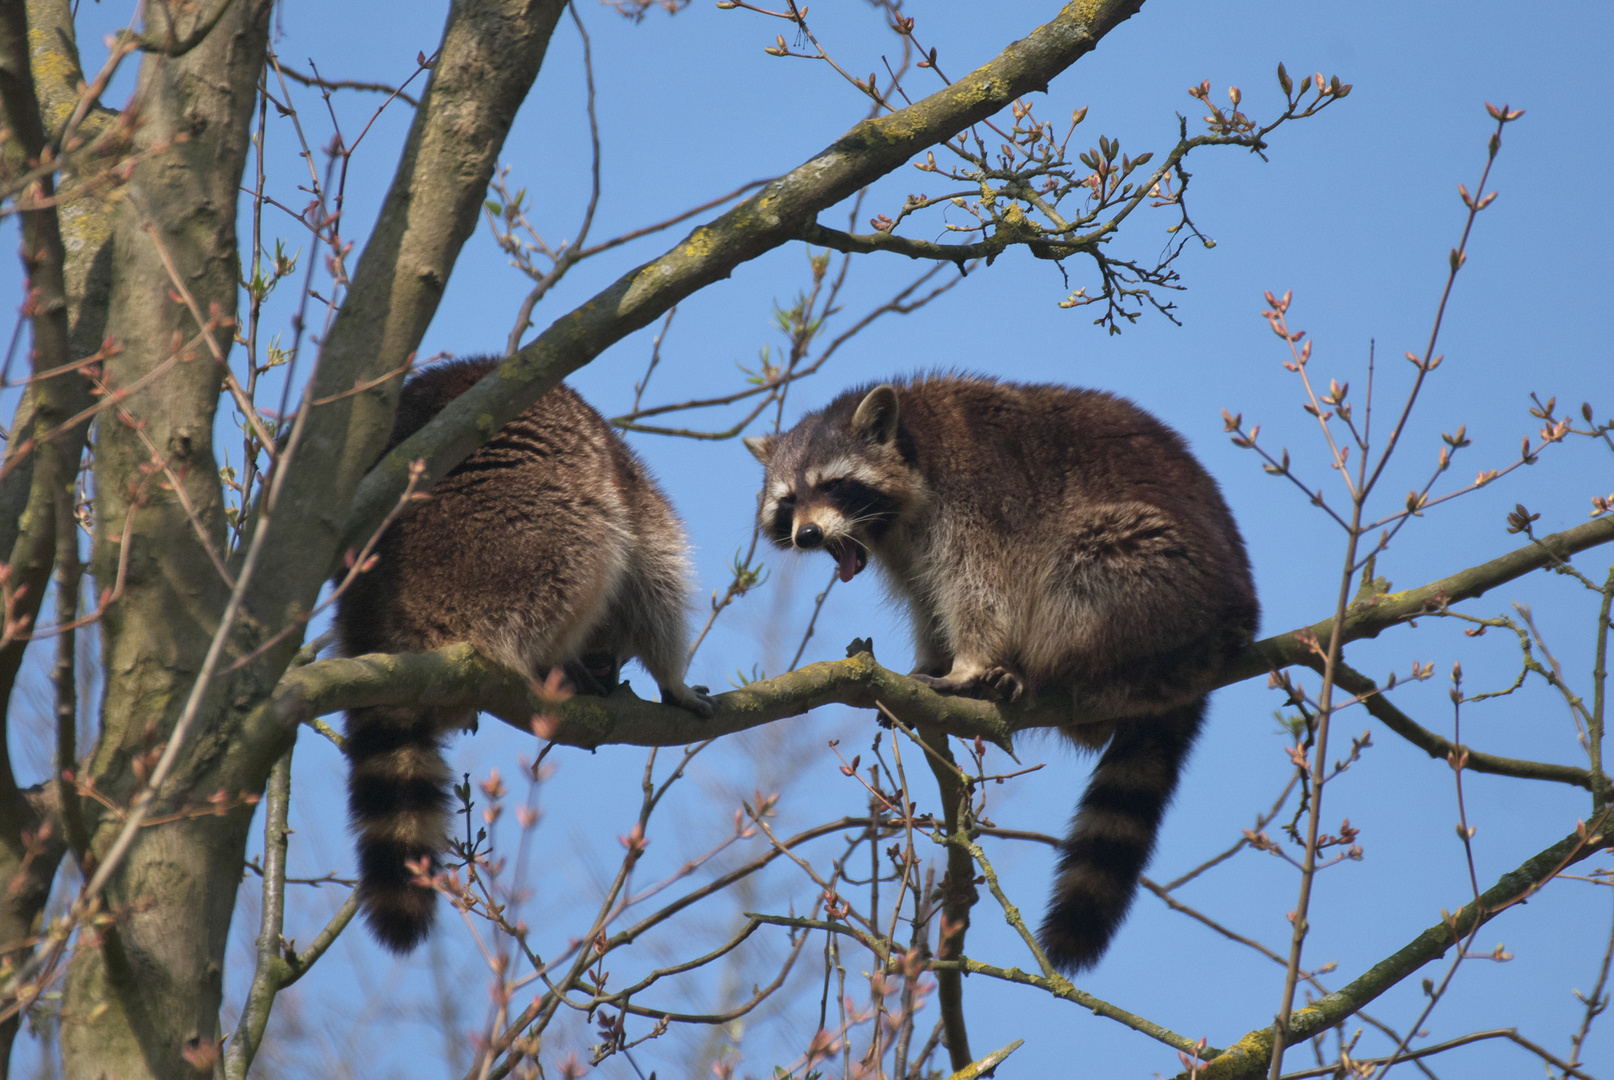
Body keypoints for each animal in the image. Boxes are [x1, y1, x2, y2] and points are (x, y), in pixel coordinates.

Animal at [335, 355, 713, 949]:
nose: (605, 672)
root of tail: (371, 610)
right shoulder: (632, 488)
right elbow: (655, 575)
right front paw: (672, 680)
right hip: (508, 538)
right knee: (589, 535)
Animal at [742, 374, 1258, 975]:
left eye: (834, 486)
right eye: (788, 502)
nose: (806, 535)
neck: (915, 448)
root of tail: (1232, 628)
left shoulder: (978, 499)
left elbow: (981, 587)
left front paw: (969, 663)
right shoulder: (905, 548)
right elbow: (927, 600)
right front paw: (932, 658)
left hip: (1156, 580)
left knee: (1078, 573)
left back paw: (1042, 672)